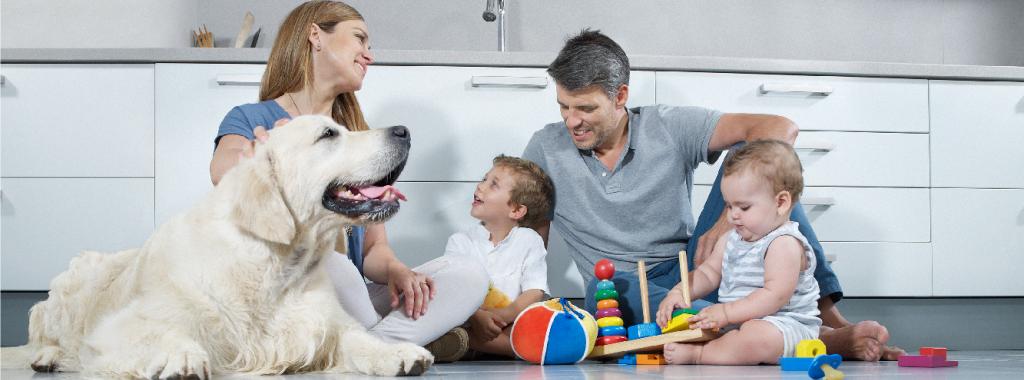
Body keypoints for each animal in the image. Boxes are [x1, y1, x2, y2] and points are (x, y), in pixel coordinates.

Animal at [1, 116, 432, 378]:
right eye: (328, 134)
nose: (405, 130)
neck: (273, 269)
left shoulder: (322, 324)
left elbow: (358, 337)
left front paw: (398, 353)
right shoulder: (119, 327)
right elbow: (161, 334)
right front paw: (181, 357)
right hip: (69, 287)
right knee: (43, 337)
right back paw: (47, 357)